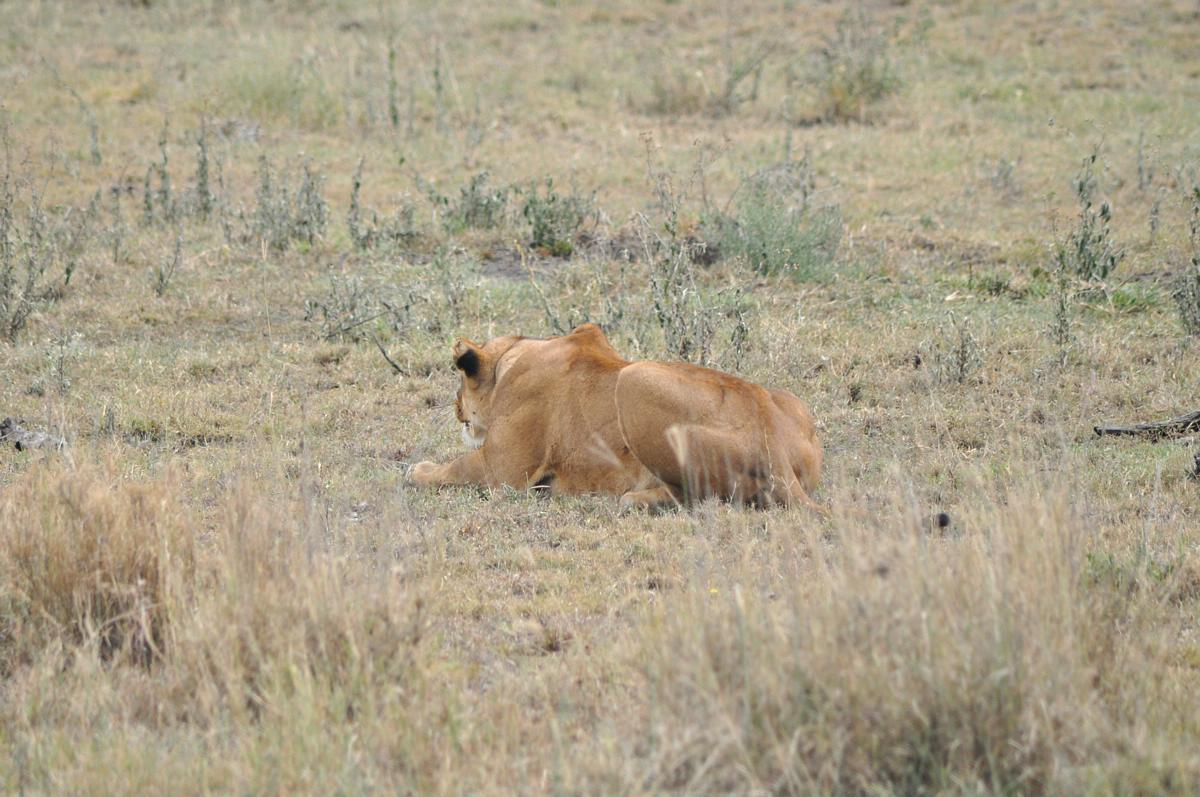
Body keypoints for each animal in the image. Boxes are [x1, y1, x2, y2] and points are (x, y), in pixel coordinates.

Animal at [408, 323, 822, 510]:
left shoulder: (504, 471)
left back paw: (631, 498)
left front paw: (417, 470)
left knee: (695, 497)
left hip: (634, 378)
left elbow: (454, 468)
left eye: (459, 382)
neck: (514, 356)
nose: (456, 406)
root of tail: (774, 444)